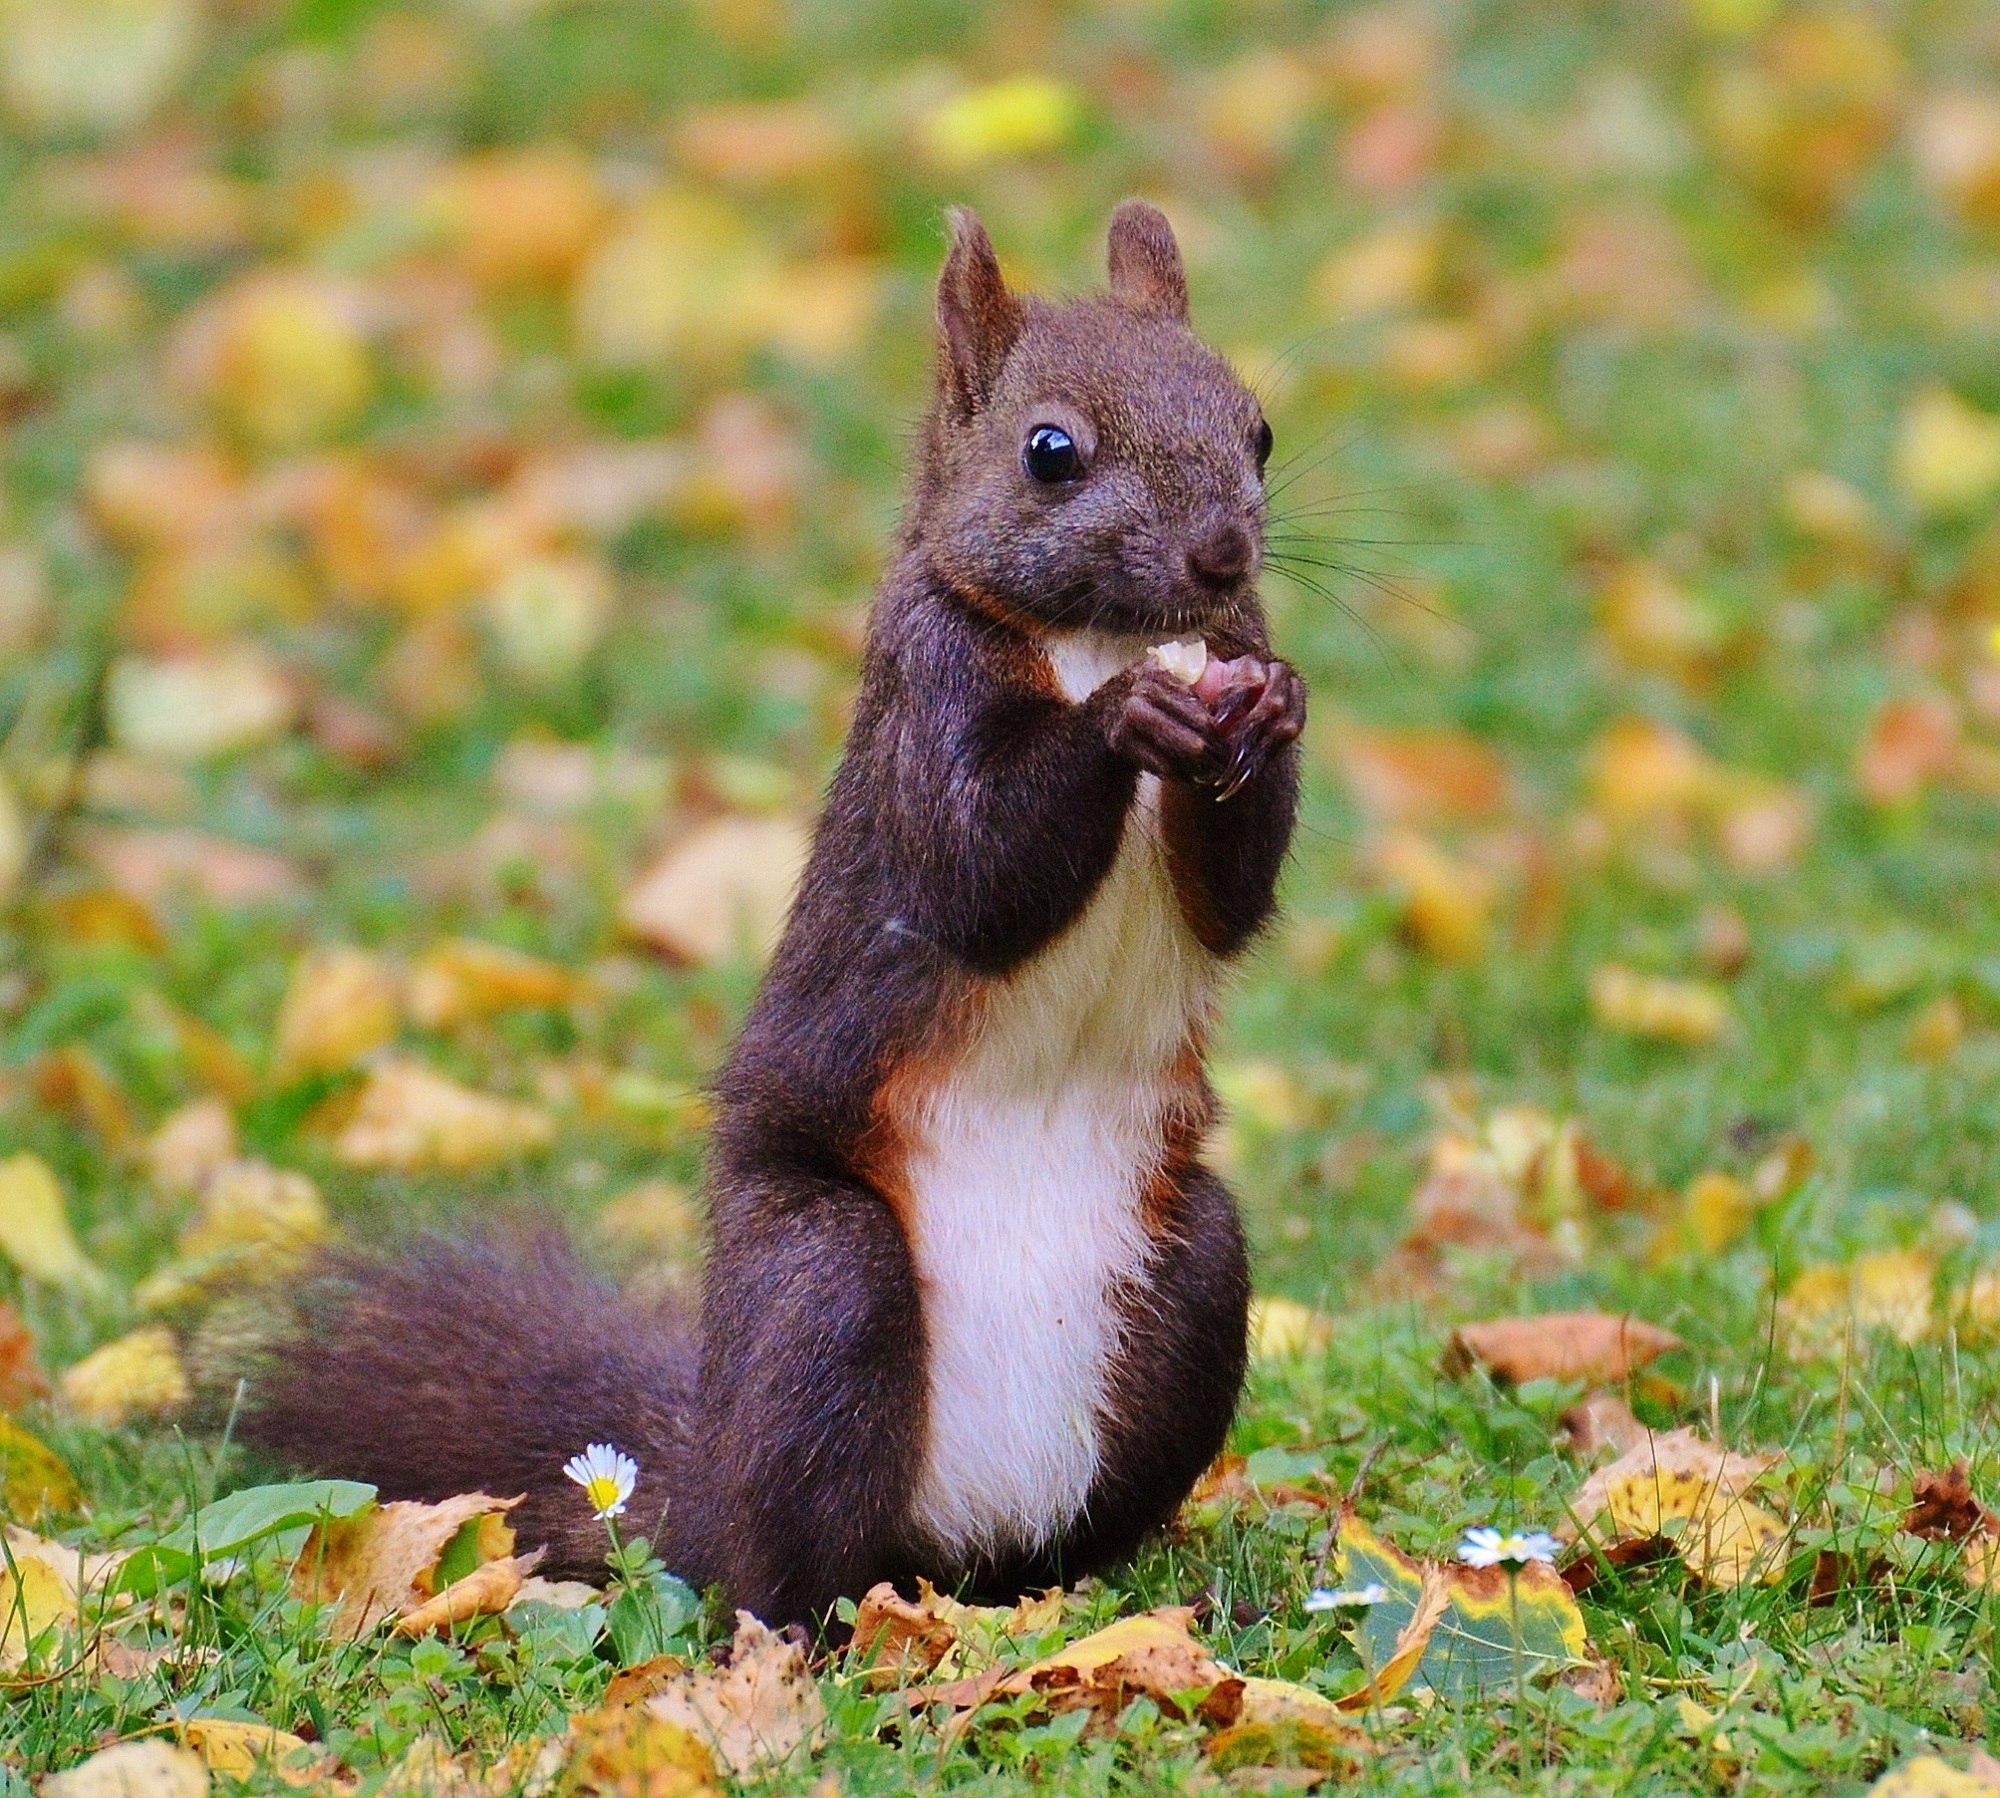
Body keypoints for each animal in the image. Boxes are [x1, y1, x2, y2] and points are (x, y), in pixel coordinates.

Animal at [246, 204, 1312, 1640]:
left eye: (1258, 428)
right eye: (1050, 451)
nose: (1222, 557)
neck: (1098, 635)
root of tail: (949, 1548)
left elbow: (1230, 896)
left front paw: (1274, 703)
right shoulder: (922, 692)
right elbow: (977, 869)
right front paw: (1123, 720)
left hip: (1190, 1276)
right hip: (823, 1288)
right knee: (782, 1557)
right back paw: (822, 1631)